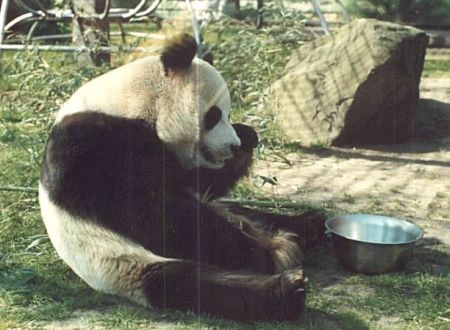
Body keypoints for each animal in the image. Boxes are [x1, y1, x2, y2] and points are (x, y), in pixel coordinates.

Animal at [38, 34, 326, 322]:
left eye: (229, 114)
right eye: (214, 115)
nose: (232, 145)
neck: (134, 103)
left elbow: (195, 182)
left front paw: (248, 136)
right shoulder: (93, 145)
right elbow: (154, 211)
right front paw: (258, 255)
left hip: (229, 213)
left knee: (251, 216)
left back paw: (307, 226)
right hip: (121, 264)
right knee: (188, 283)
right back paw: (287, 286)